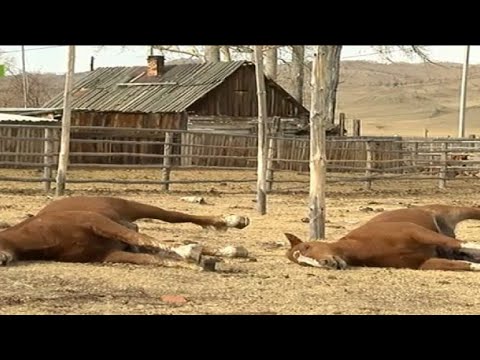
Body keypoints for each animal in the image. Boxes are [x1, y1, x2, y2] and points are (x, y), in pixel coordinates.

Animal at [284, 204, 480, 272]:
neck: (365, 246)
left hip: (458, 211)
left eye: (307, 247)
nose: (326, 263)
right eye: (303, 263)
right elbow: (464, 265)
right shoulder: (424, 262)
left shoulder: (416, 232)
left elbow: (461, 243)